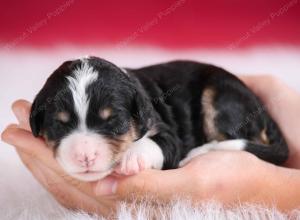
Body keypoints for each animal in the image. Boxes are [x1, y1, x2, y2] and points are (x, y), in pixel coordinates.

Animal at [29, 56, 288, 180]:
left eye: (114, 121)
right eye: (59, 124)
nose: (85, 157)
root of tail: (262, 109)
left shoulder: (167, 131)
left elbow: (157, 144)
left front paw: (132, 156)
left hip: (222, 99)